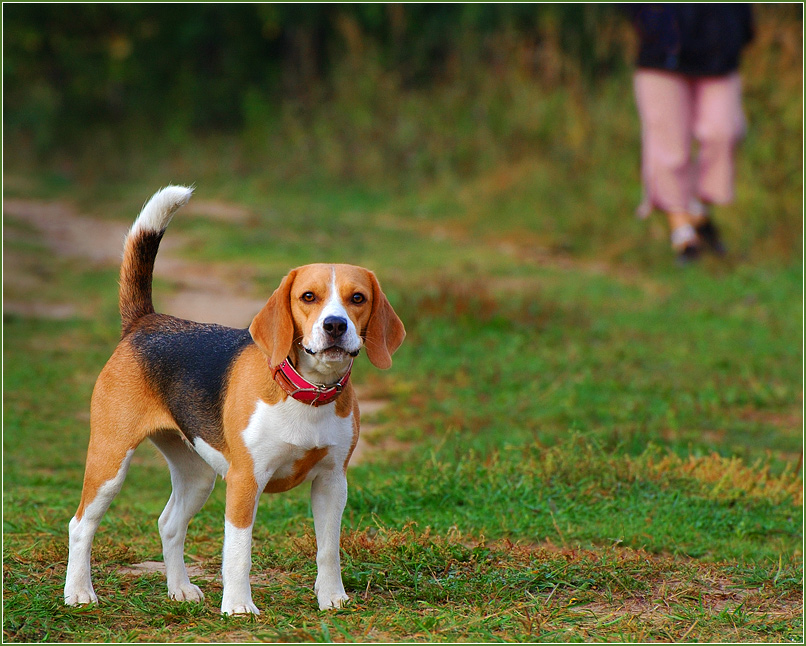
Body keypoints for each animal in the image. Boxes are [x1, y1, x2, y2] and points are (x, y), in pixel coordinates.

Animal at [63, 187, 408, 616]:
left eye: (357, 298)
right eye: (308, 297)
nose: (335, 325)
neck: (307, 393)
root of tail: (146, 322)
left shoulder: (332, 482)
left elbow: (328, 549)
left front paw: (332, 598)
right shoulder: (246, 481)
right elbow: (239, 552)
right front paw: (239, 607)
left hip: (197, 475)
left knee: (169, 524)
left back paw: (180, 589)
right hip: (110, 460)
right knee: (81, 525)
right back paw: (79, 592)